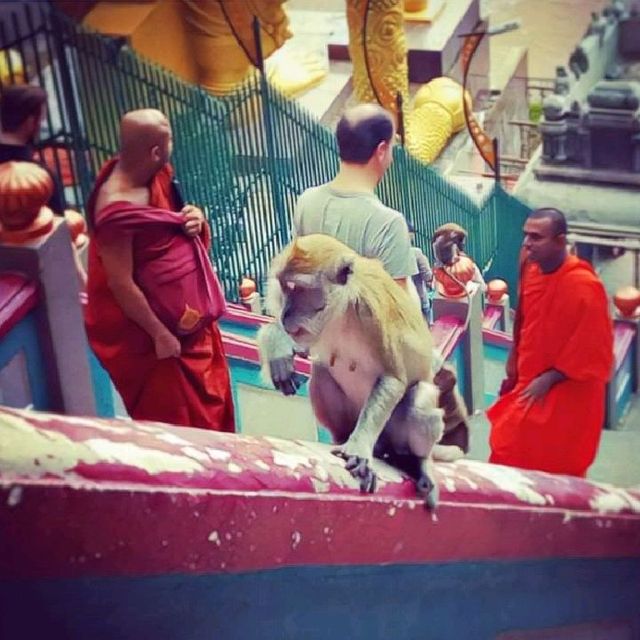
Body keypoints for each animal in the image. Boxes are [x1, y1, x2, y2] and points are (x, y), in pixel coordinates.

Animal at [258, 232, 448, 508]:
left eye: (299, 289)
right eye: (284, 288)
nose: (285, 313)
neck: (343, 309)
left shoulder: (372, 314)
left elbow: (393, 378)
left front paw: (359, 447)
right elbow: (301, 348)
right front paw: (278, 346)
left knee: (419, 401)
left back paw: (417, 462)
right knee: (322, 370)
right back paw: (342, 436)